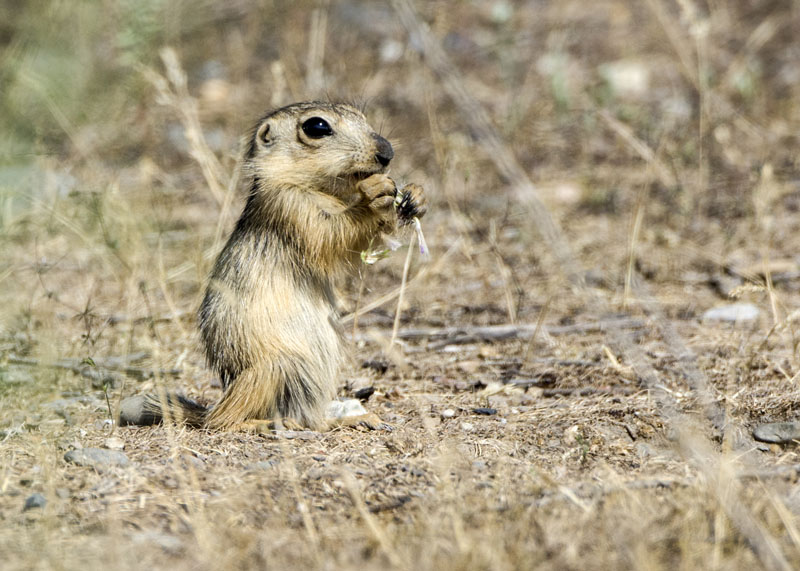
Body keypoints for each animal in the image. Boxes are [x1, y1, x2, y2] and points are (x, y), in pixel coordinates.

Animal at [119, 103, 428, 432]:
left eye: (363, 115)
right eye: (316, 127)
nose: (387, 152)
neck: (322, 190)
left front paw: (416, 195)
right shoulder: (288, 204)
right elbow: (329, 233)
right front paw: (375, 193)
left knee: (310, 421)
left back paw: (357, 418)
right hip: (273, 368)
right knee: (220, 421)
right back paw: (266, 424)